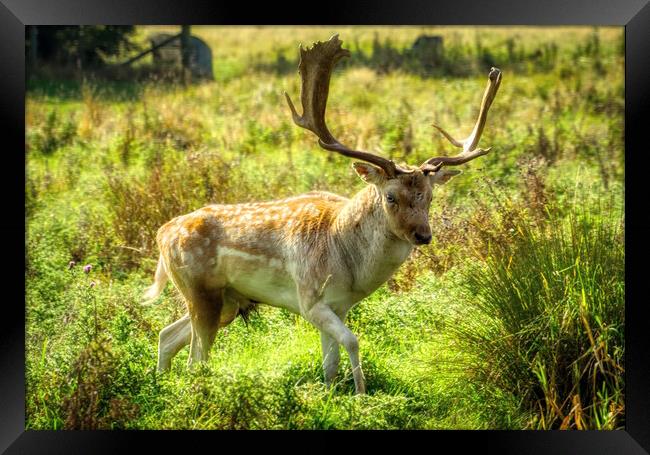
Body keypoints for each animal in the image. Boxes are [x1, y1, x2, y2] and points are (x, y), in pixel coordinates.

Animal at [143, 34, 502, 396]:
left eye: (429, 197)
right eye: (390, 196)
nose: (423, 235)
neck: (349, 264)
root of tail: (162, 233)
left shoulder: (339, 304)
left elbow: (330, 363)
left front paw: (331, 396)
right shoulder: (309, 299)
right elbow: (353, 342)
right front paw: (361, 393)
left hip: (228, 300)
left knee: (166, 336)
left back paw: (160, 385)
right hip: (199, 289)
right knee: (195, 359)